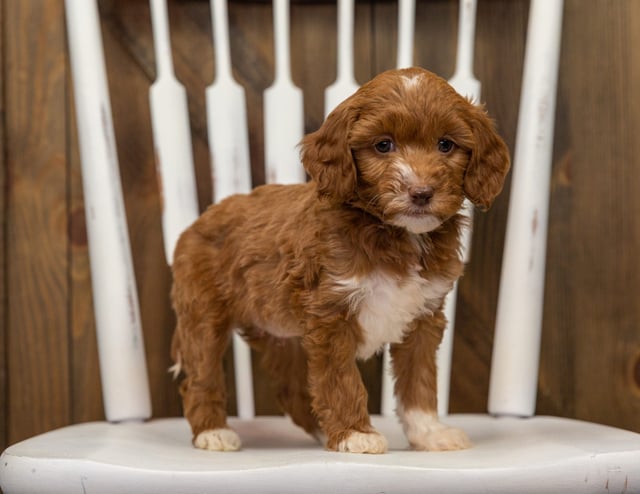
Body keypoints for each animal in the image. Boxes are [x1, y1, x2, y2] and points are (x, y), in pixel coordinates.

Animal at [170, 67, 510, 454]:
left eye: (446, 145)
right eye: (383, 145)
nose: (421, 193)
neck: (397, 234)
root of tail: (197, 222)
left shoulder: (423, 317)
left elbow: (419, 381)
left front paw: (428, 433)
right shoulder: (331, 314)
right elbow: (341, 379)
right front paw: (355, 434)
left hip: (283, 334)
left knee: (292, 387)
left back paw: (320, 431)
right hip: (202, 314)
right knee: (201, 374)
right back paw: (213, 431)